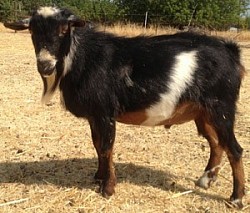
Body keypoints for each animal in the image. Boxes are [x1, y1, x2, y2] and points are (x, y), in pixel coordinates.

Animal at [26, 6, 245, 208]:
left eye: (64, 29)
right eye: (32, 31)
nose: (45, 65)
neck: (82, 57)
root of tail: (230, 51)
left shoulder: (105, 113)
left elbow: (106, 148)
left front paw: (108, 188)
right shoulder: (94, 115)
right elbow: (97, 145)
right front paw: (99, 177)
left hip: (221, 108)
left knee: (234, 149)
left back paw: (236, 198)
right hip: (203, 113)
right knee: (216, 143)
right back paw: (205, 180)